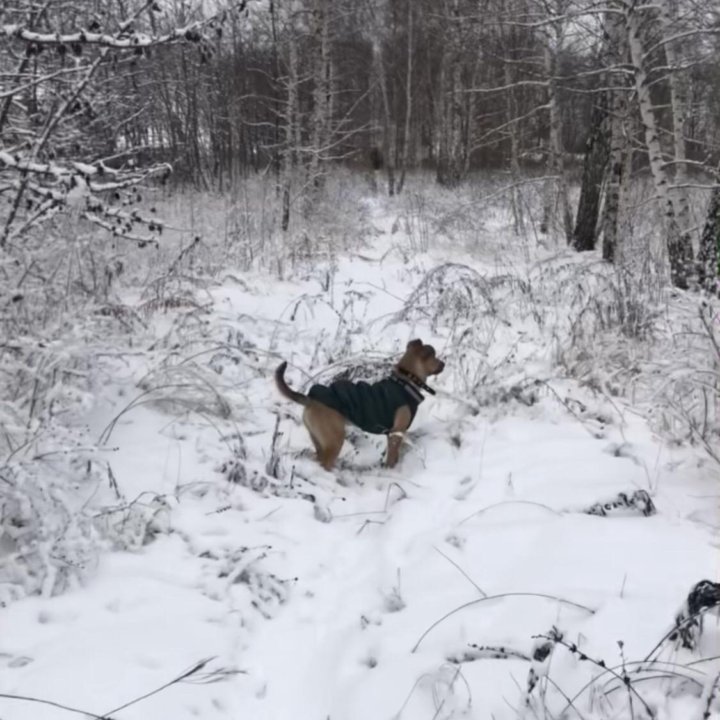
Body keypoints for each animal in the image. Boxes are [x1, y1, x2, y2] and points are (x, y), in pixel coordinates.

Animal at [276, 338, 444, 470]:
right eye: (435, 357)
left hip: (318, 439)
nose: (444, 363)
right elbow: (392, 457)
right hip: (334, 440)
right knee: (325, 463)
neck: (406, 380)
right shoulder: (396, 433)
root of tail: (312, 399)